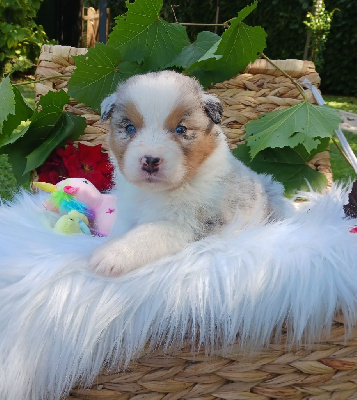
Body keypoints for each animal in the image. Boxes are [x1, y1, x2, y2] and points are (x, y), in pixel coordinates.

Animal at [88, 70, 290, 276]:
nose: (150, 161)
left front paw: (111, 254)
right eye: (130, 128)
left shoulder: (190, 225)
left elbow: (151, 231)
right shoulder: (128, 215)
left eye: (181, 129)